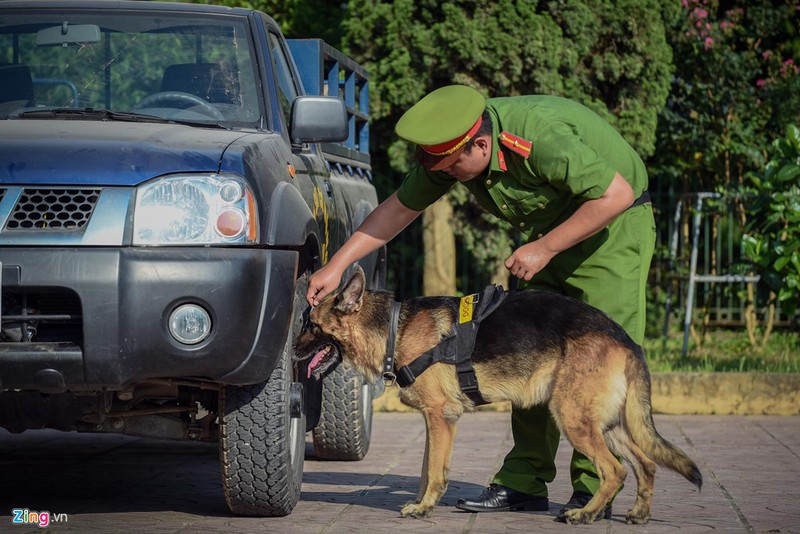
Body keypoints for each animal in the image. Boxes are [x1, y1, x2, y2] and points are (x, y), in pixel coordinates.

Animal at [294, 266, 700, 524]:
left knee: (615, 471)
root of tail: (626, 339)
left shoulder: (440, 417)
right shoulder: (435, 421)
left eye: (311, 325)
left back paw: (584, 514)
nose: (291, 351)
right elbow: (427, 469)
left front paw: (424, 509)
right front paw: (421, 503)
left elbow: (435, 471)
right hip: (607, 425)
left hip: (574, 420)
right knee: (645, 464)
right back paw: (638, 515)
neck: (396, 329)